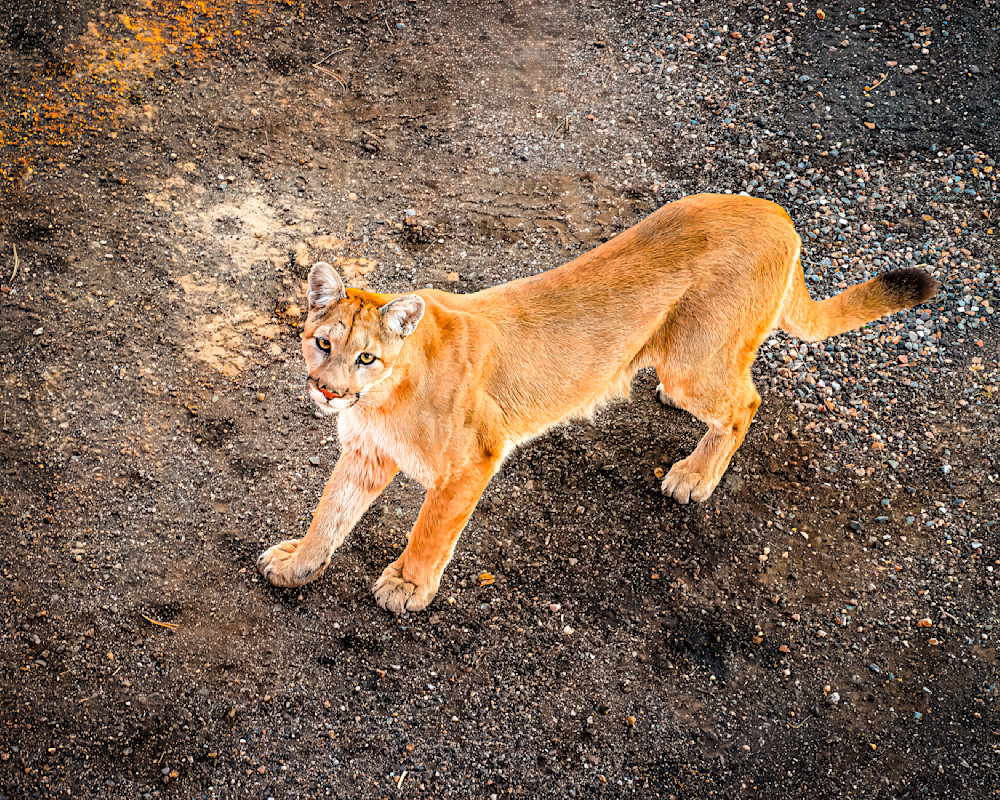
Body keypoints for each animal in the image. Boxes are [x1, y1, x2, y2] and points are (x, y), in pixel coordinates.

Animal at [258, 193, 935, 612]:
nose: (327, 389)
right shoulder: (367, 453)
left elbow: (430, 528)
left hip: (694, 363)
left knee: (747, 401)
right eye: (322, 343)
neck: (380, 401)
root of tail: (777, 212)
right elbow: (330, 513)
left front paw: (405, 585)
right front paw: (298, 563)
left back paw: (695, 476)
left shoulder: (472, 459)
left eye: (366, 358)